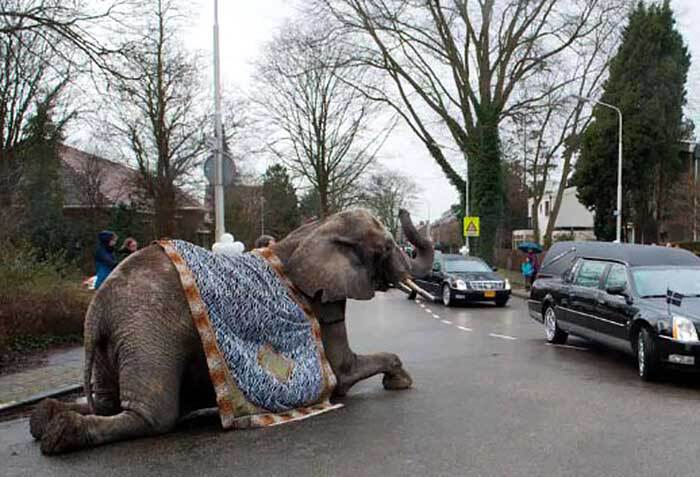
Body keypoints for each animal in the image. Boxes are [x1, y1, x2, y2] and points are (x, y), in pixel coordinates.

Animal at [30, 206, 432, 452]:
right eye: (387, 247)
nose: (404, 211)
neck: (318, 226)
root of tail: (96, 310)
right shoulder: (321, 299)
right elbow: (343, 372)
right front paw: (400, 381)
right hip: (146, 330)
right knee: (153, 416)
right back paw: (60, 433)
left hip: (116, 341)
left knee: (107, 403)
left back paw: (44, 419)